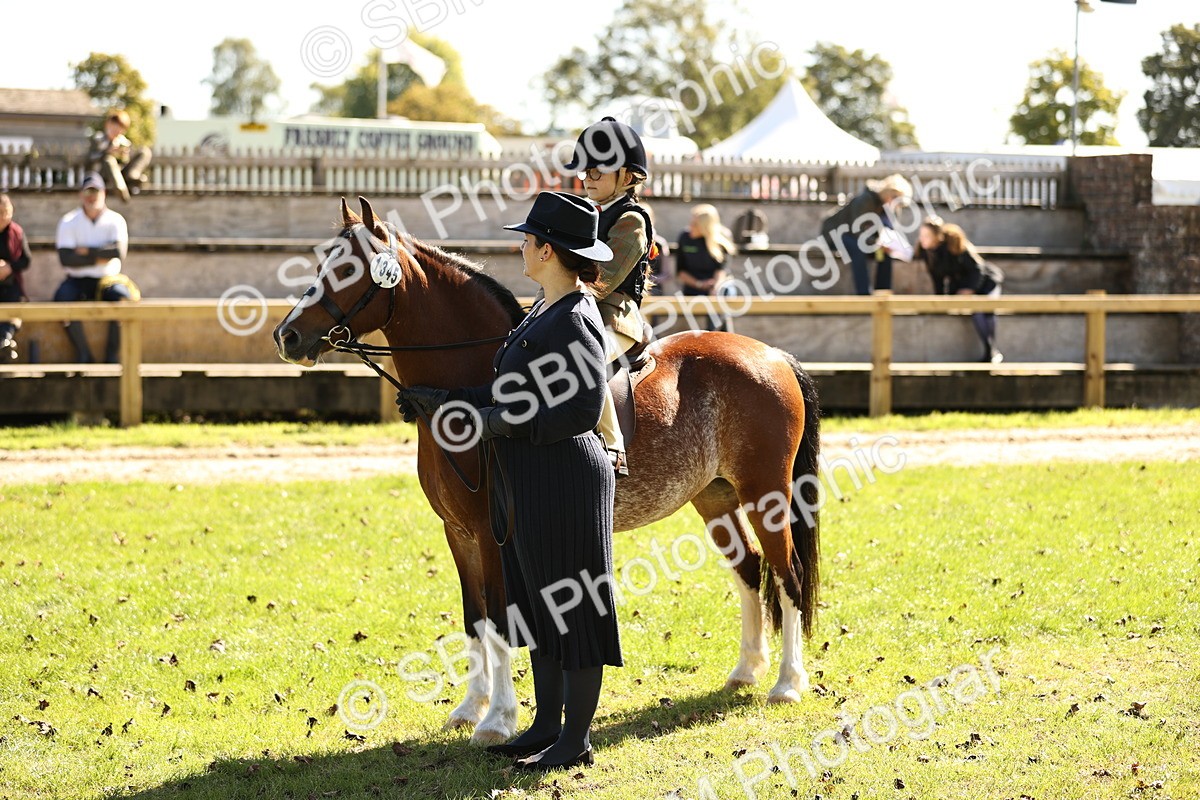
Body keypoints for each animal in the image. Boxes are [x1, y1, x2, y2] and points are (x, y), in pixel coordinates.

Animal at [274, 197, 822, 746]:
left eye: (347, 269)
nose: (287, 335)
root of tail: (772, 355)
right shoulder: (458, 534)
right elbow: (474, 618)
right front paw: (470, 708)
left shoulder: (492, 535)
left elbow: (500, 620)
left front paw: (497, 720)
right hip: (715, 497)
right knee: (749, 569)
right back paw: (745, 671)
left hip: (765, 494)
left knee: (788, 574)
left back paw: (786, 684)